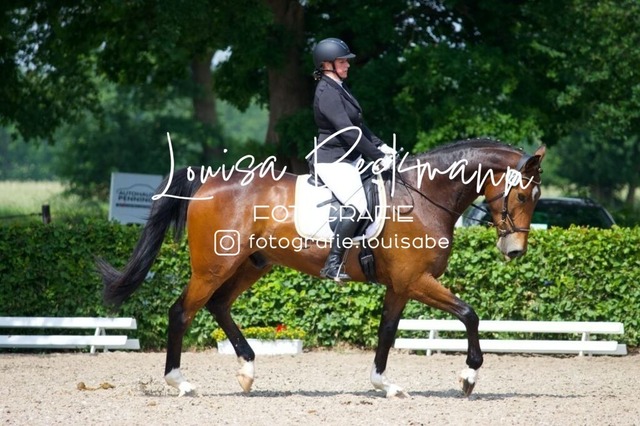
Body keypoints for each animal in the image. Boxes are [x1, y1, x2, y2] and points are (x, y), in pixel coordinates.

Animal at [98, 139, 546, 398]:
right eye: (523, 195)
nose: (514, 251)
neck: (422, 196)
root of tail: (207, 182)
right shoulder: (417, 280)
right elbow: (470, 314)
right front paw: (468, 378)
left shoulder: (401, 285)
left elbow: (387, 332)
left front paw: (383, 384)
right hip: (213, 266)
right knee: (182, 312)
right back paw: (180, 382)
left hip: (251, 264)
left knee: (219, 306)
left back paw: (247, 371)